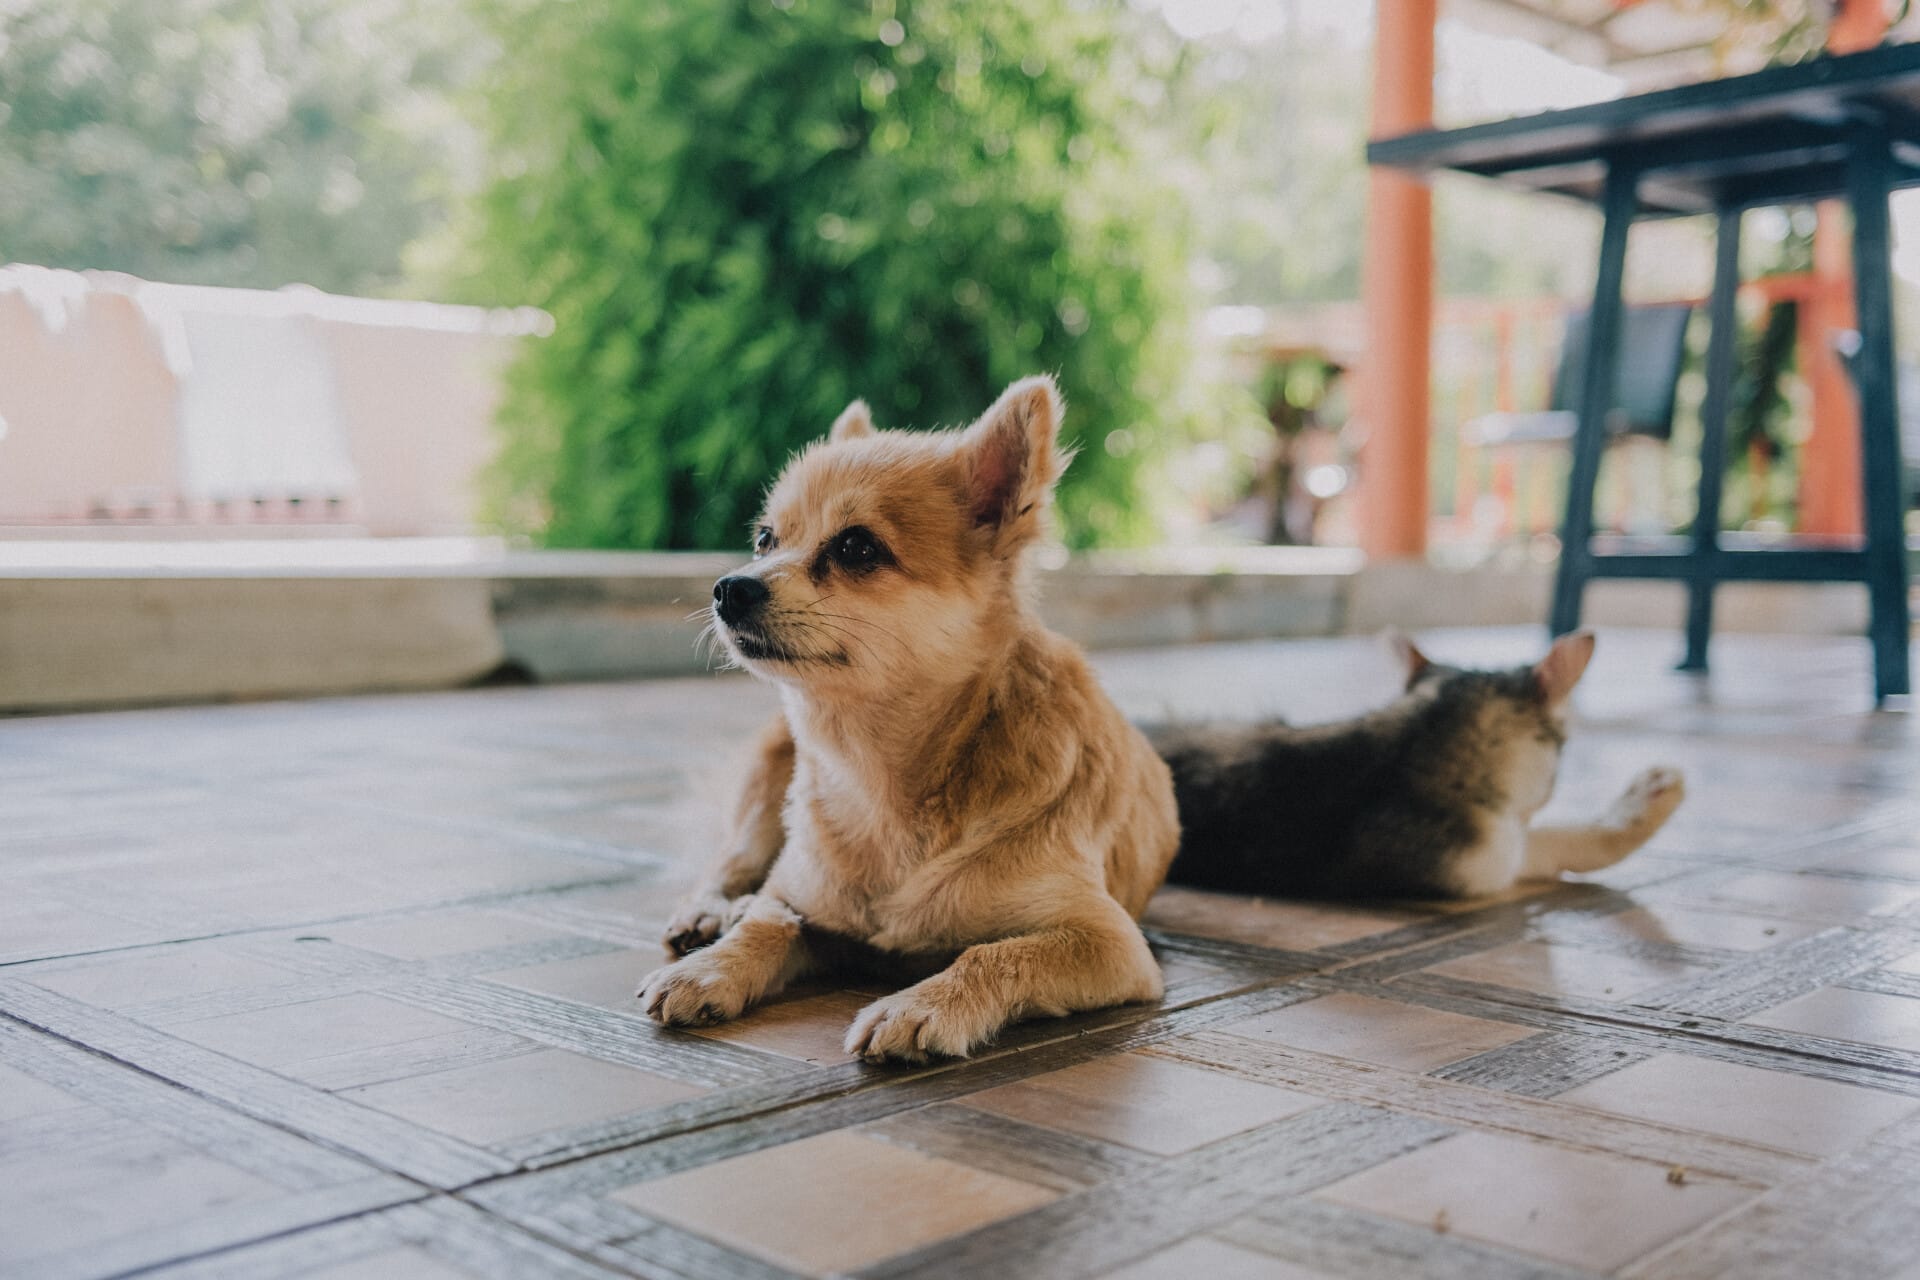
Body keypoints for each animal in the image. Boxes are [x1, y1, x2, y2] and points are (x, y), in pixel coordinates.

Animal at [638, 376, 1180, 1064]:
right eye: (764, 540)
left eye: (856, 547)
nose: (729, 587)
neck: (882, 779)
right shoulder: (797, 896)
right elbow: (767, 920)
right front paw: (709, 968)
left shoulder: (1111, 944)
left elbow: (995, 953)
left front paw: (921, 1006)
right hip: (765, 782)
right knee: (732, 859)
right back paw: (708, 913)